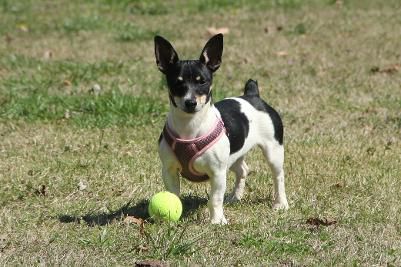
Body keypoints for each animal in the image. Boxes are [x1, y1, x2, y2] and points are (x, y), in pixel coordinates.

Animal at [153, 33, 288, 225]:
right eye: (177, 84)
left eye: (202, 82)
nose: (190, 102)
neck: (190, 127)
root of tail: (253, 95)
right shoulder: (169, 170)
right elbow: (173, 195)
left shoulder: (217, 173)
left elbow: (215, 199)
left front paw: (217, 221)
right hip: (234, 156)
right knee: (242, 170)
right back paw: (234, 197)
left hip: (273, 151)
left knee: (278, 176)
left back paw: (280, 203)